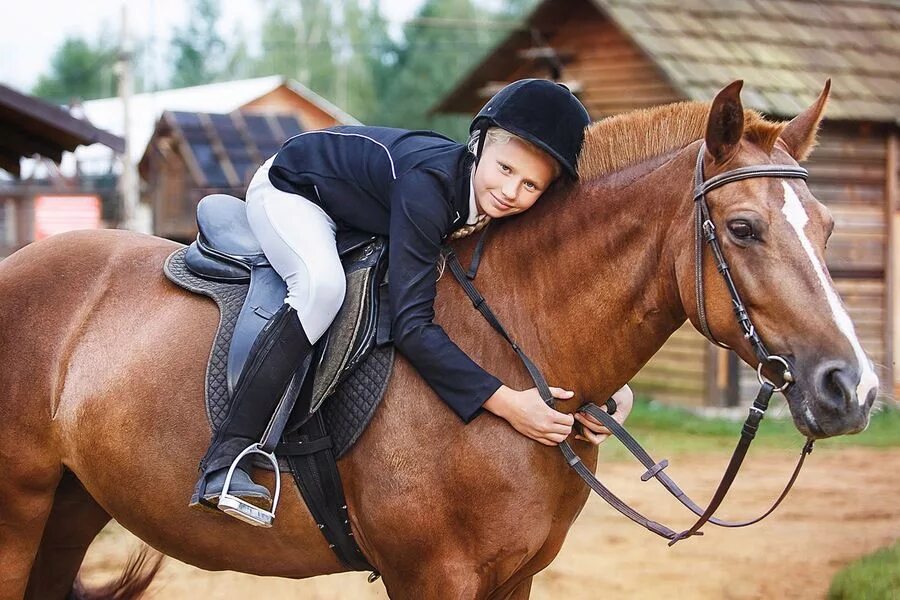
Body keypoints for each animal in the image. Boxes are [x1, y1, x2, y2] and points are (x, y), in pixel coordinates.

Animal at [0, 81, 872, 600]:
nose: (853, 389)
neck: (514, 339)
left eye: (829, 228)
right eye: (744, 228)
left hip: (69, 513)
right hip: (18, 517)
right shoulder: (432, 577)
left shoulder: (514, 577)